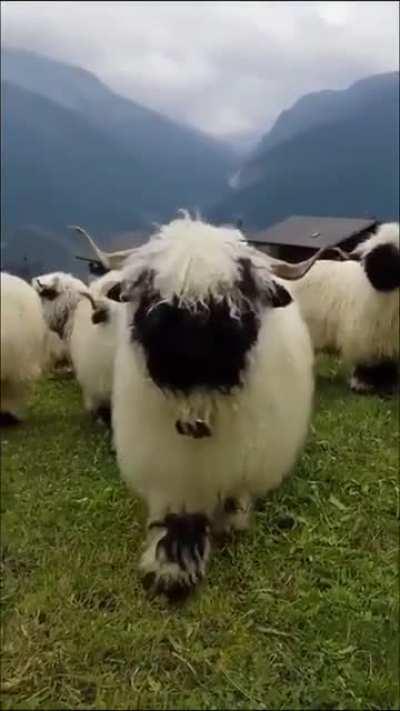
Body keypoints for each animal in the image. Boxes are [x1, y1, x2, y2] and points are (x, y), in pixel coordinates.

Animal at [99, 213, 329, 600]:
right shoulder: (172, 468)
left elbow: (235, 498)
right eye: (152, 294)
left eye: (232, 298)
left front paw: (231, 520)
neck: (199, 403)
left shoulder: (244, 460)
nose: (184, 353)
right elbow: (178, 515)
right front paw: (171, 568)